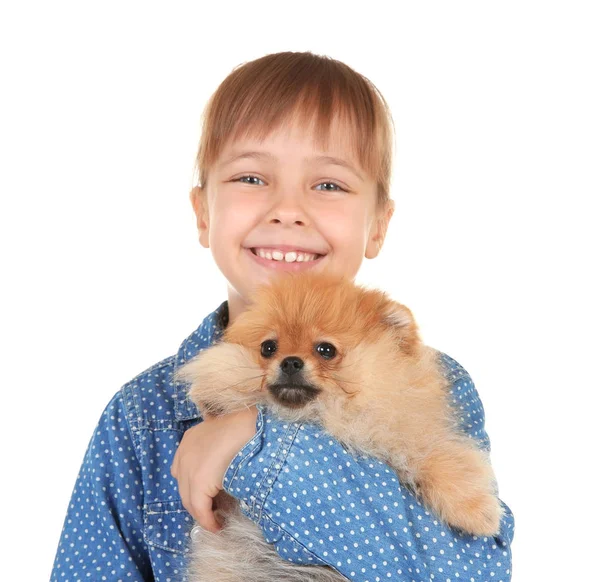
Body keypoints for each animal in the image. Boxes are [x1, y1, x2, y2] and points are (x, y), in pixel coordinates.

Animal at [175, 274, 506, 582]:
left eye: (326, 349)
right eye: (268, 347)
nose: (290, 362)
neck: (329, 415)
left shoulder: (409, 432)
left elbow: (441, 458)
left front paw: (480, 513)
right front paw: (212, 400)